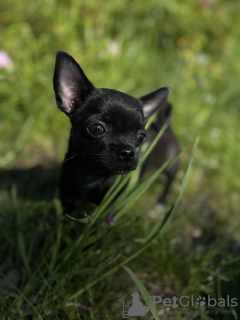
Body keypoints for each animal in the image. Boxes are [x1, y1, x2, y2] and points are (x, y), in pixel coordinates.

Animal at [53, 51, 179, 211]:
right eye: (96, 129)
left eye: (141, 137)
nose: (128, 152)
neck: (93, 175)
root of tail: (166, 125)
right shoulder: (69, 202)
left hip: (171, 165)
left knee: (170, 181)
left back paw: (162, 201)